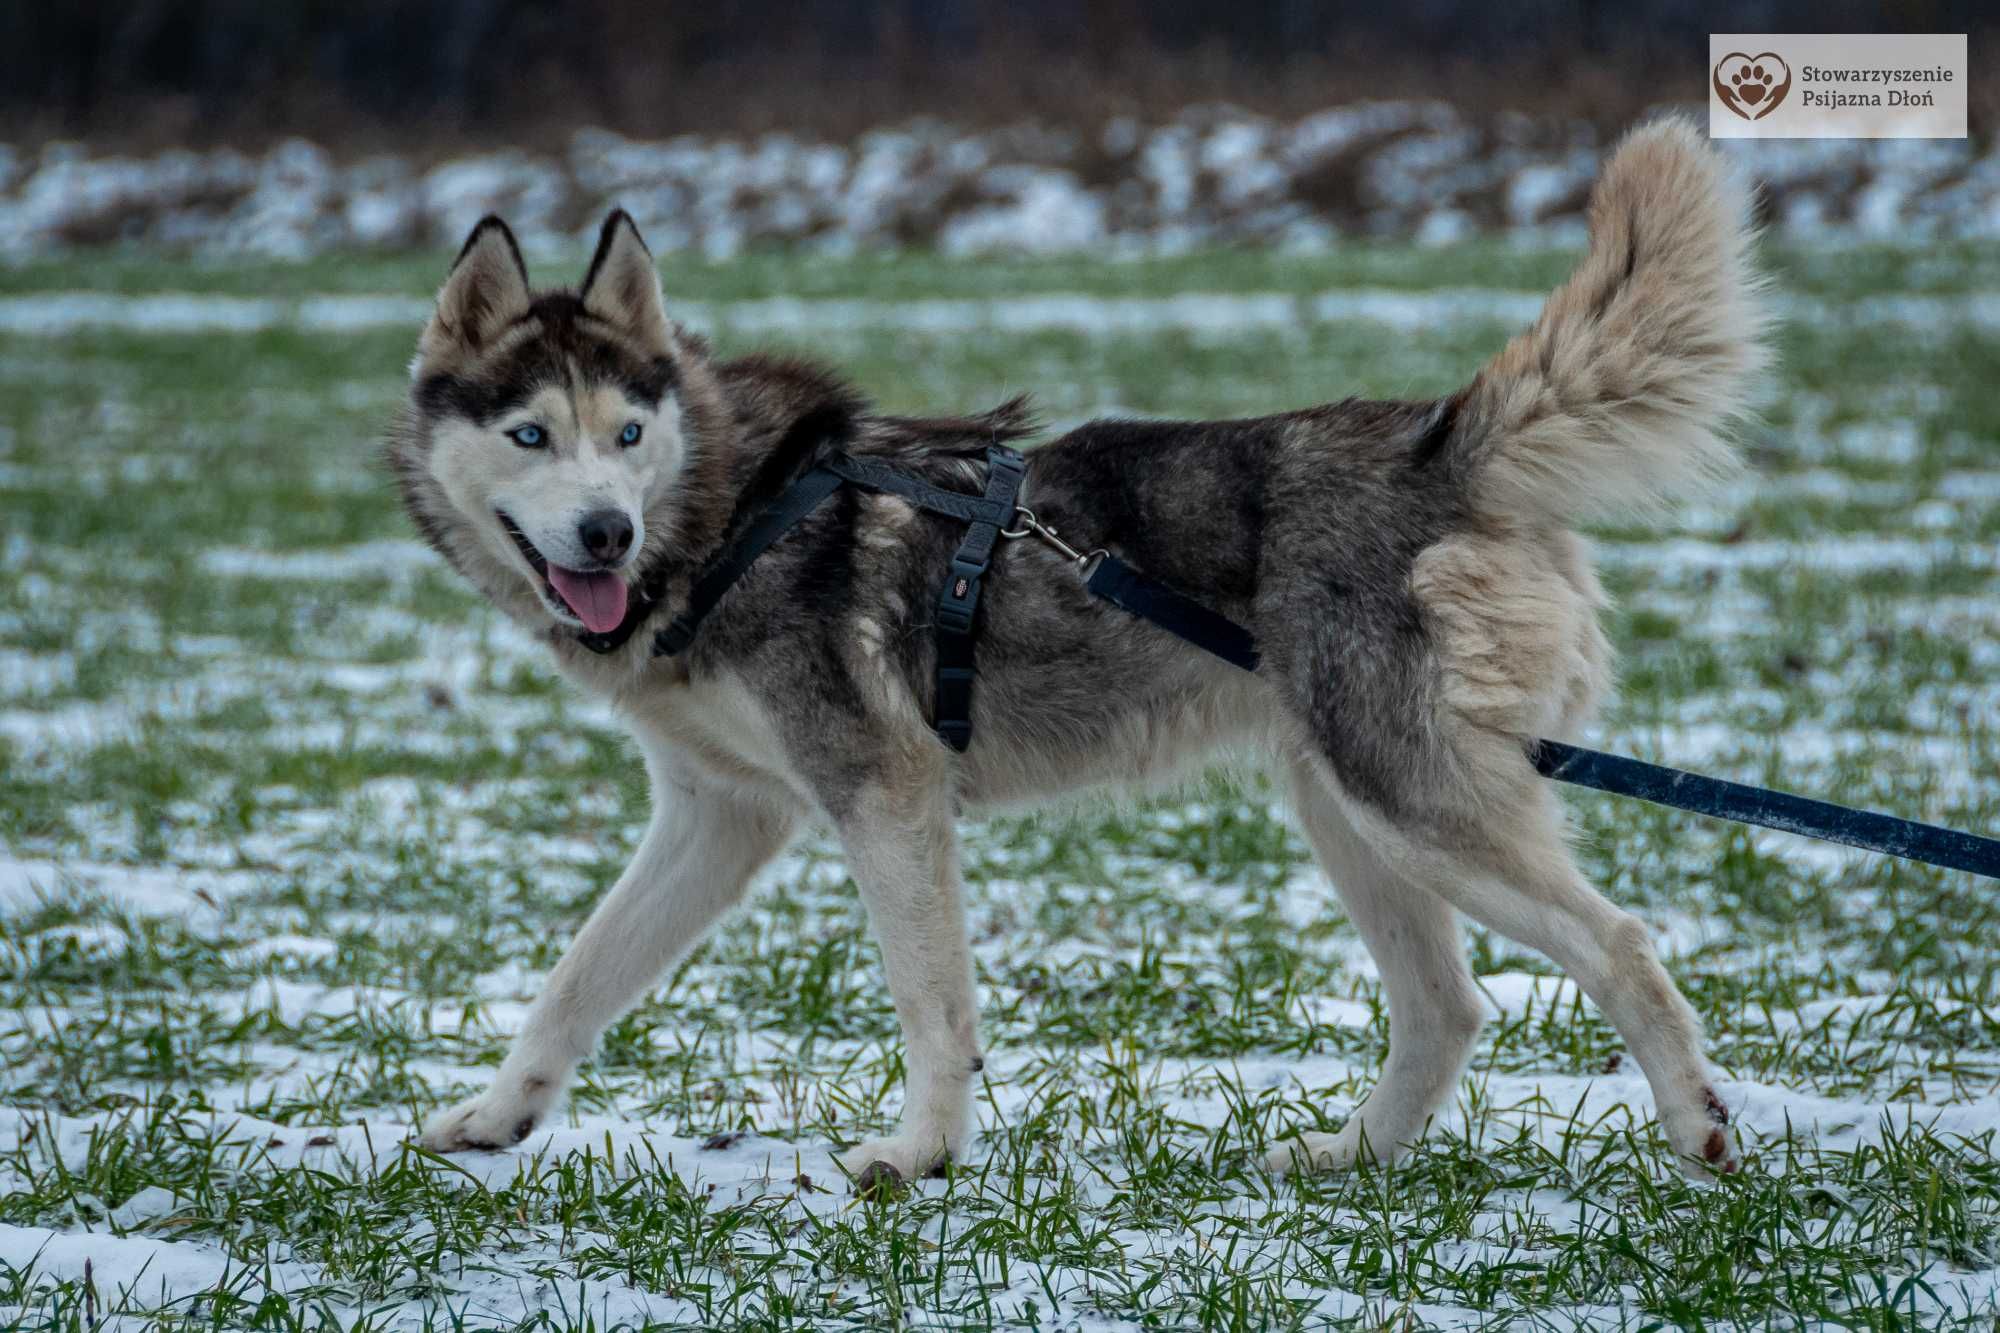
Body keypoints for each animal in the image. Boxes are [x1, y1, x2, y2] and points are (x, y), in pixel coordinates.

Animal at [390, 119, 1768, 1184]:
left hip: (1408, 806)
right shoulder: (719, 815)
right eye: (529, 435)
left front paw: (916, 1157)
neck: (733, 514)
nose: (603, 531)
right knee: (1446, 1007)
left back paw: (1695, 1130)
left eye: (625, 434)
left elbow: (932, 1005)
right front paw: (493, 1119)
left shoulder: (882, 796)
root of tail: (1438, 441)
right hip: (1346, 814)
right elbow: (575, 978)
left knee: (1620, 944)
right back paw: (1346, 1158)